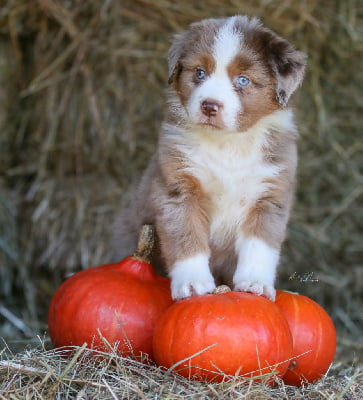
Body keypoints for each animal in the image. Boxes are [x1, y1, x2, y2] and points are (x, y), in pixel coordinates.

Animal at [112, 17, 306, 302]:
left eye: (243, 80)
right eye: (200, 73)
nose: (210, 106)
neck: (228, 143)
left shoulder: (268, 195)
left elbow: (260, 246)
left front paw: (255, 284)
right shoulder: (178, 189)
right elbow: (186, 238)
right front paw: (193, 285)